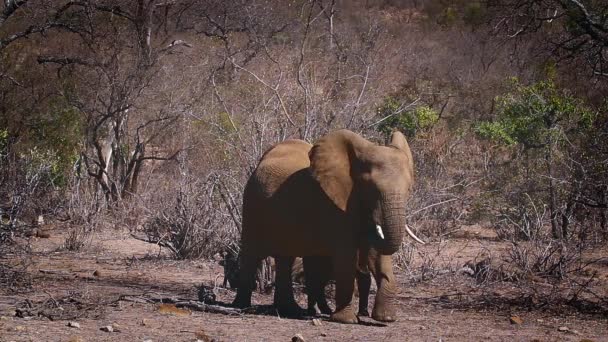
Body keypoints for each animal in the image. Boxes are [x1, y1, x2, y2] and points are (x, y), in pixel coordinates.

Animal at [233, 128, 422, 324]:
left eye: (409, 188)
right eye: (371, 188)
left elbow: (378, 255)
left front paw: (386, 318)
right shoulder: (335, 207)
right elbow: (346, 256)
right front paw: (346, 319)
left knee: (285, 257)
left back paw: (290, 310)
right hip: (251, 204)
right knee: (252, 253)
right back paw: (241, 307)